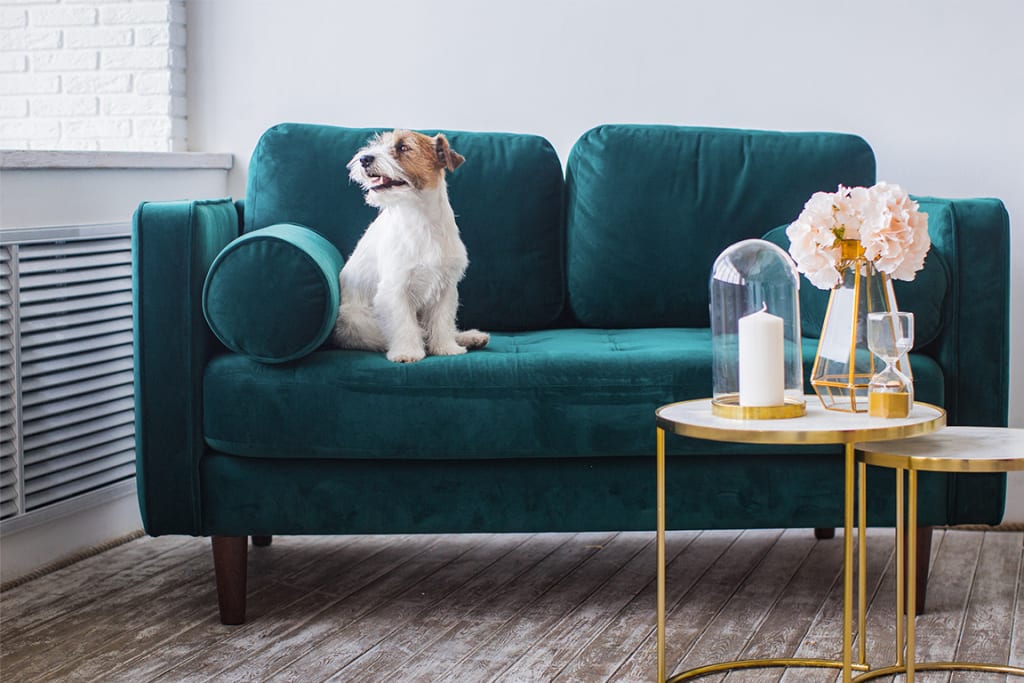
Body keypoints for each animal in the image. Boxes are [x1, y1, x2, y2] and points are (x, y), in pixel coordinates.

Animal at [327, 129, 487, 362]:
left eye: (403, 147)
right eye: (379, 144)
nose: (364, 159)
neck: (421, 217)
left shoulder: (446, 287)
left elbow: (442, 322)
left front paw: (446, 348)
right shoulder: (395, 289)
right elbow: (404, 324)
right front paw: (407, 352)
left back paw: (469, 337)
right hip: (355, 321)